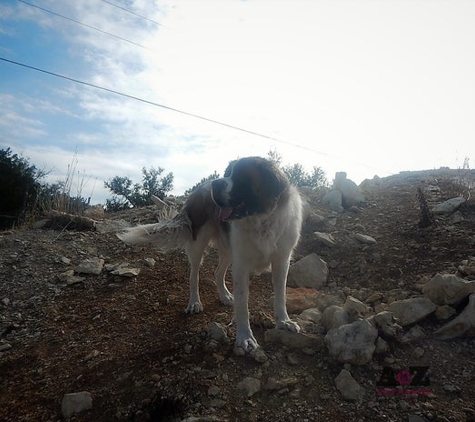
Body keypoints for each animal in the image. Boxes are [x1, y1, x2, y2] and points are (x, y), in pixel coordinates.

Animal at [120, 157, 304, 352]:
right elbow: (242, 304)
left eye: (241, 177)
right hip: (198, 244)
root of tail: (197, 191)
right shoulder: (241, 266)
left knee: (217, 272)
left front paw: (284, 322)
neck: (261, 221)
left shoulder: (282, 261)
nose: (216, 183)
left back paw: (225, 296)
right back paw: (194, 302)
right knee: (194, 275)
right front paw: (245, 337)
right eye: (227, 173)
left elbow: (281, 295)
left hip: (228, 249)